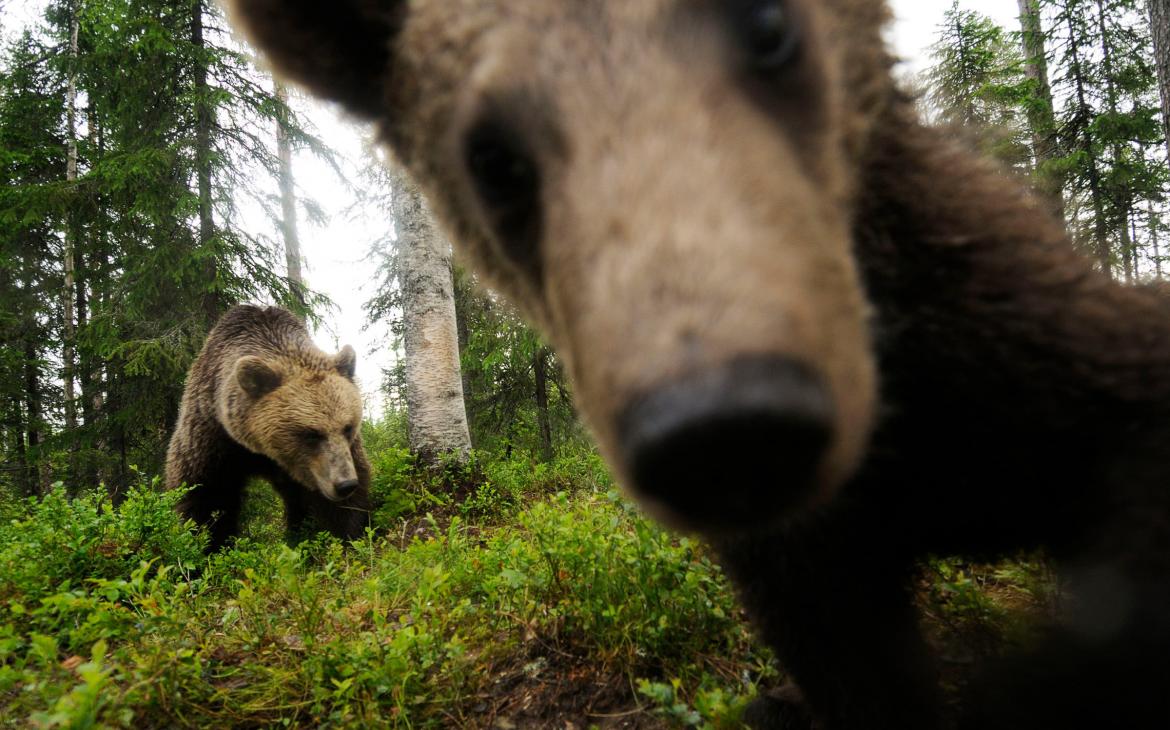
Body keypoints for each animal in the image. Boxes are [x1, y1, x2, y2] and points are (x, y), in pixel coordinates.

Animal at [164, 304, 369, 549]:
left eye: (348, 427)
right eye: (311, 434)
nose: (345, 484)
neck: (262, 451)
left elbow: (343, 504)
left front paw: (346, 536)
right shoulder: (213, 437)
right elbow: (205, 495)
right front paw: (209, 544)